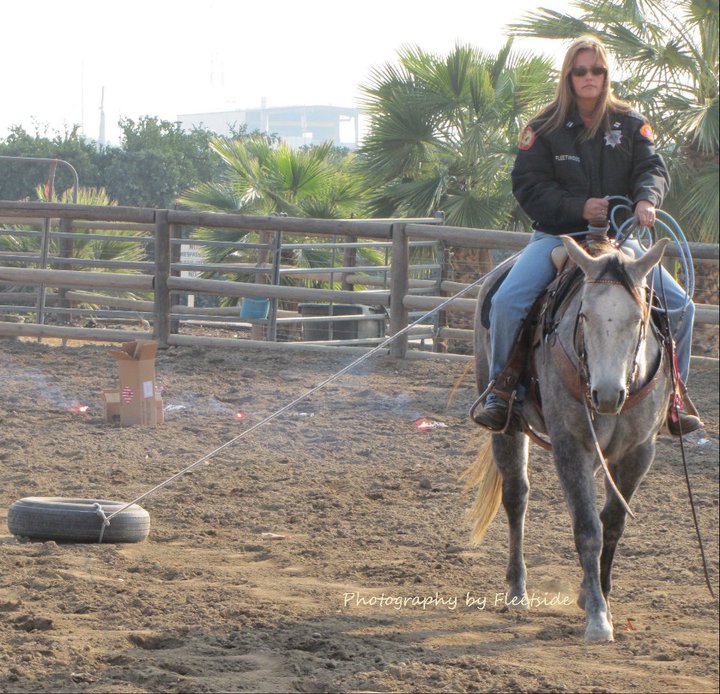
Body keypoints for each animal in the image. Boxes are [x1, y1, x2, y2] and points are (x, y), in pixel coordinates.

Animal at [470, 235, 672, 640]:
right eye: (584, 316)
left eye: (639, 319)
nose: (607, 394)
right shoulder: (570, 445)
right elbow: (588, 527)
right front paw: (597, 616)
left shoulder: (639, 453)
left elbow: (613, 523)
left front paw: (599, 596)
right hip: (508, 426)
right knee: (516, 497)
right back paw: (517, 590)